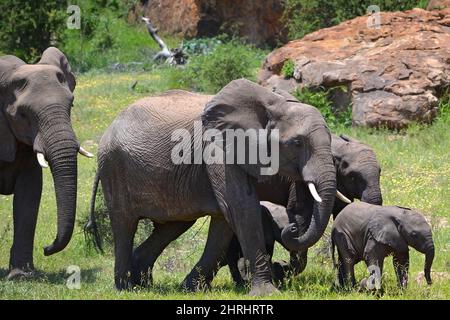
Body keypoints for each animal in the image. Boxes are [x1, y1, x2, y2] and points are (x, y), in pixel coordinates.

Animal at [93, 79, 336, 296]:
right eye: (297, 143)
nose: (292, 228)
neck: (272, 102)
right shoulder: (218, 148)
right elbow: (241, 207)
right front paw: (266, 294)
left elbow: (224, 220)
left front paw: (191, 289)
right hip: (114, 167)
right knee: (124, 224)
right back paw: (125, 288)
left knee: (172, 225)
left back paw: (142, 284)